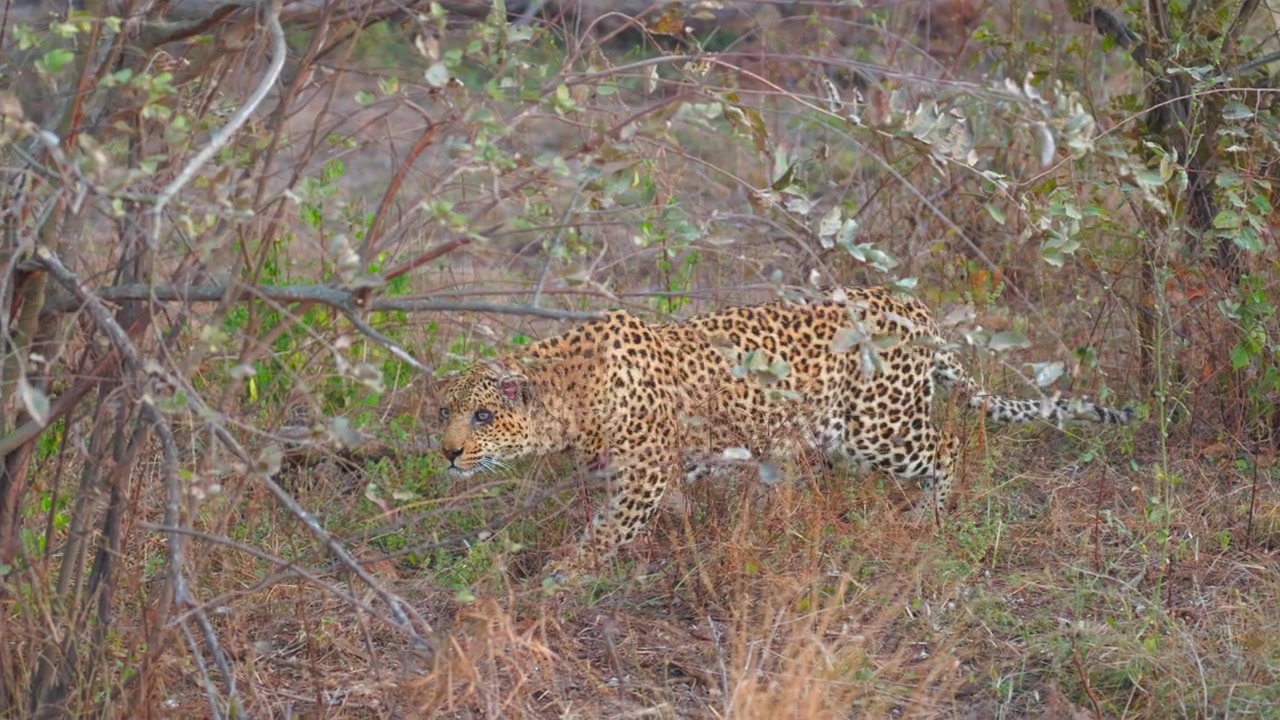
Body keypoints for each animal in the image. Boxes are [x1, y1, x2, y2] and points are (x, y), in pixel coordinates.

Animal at [437, 285, 1133, 583]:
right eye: (443, 412)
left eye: (481, 417)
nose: (446, 453)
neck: (564, 394)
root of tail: (912, 306)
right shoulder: (655, 472)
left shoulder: (643, 475)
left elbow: (603, 534)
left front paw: (561, 577)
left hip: (879, 427)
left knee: (948, 446)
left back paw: (926, 519)